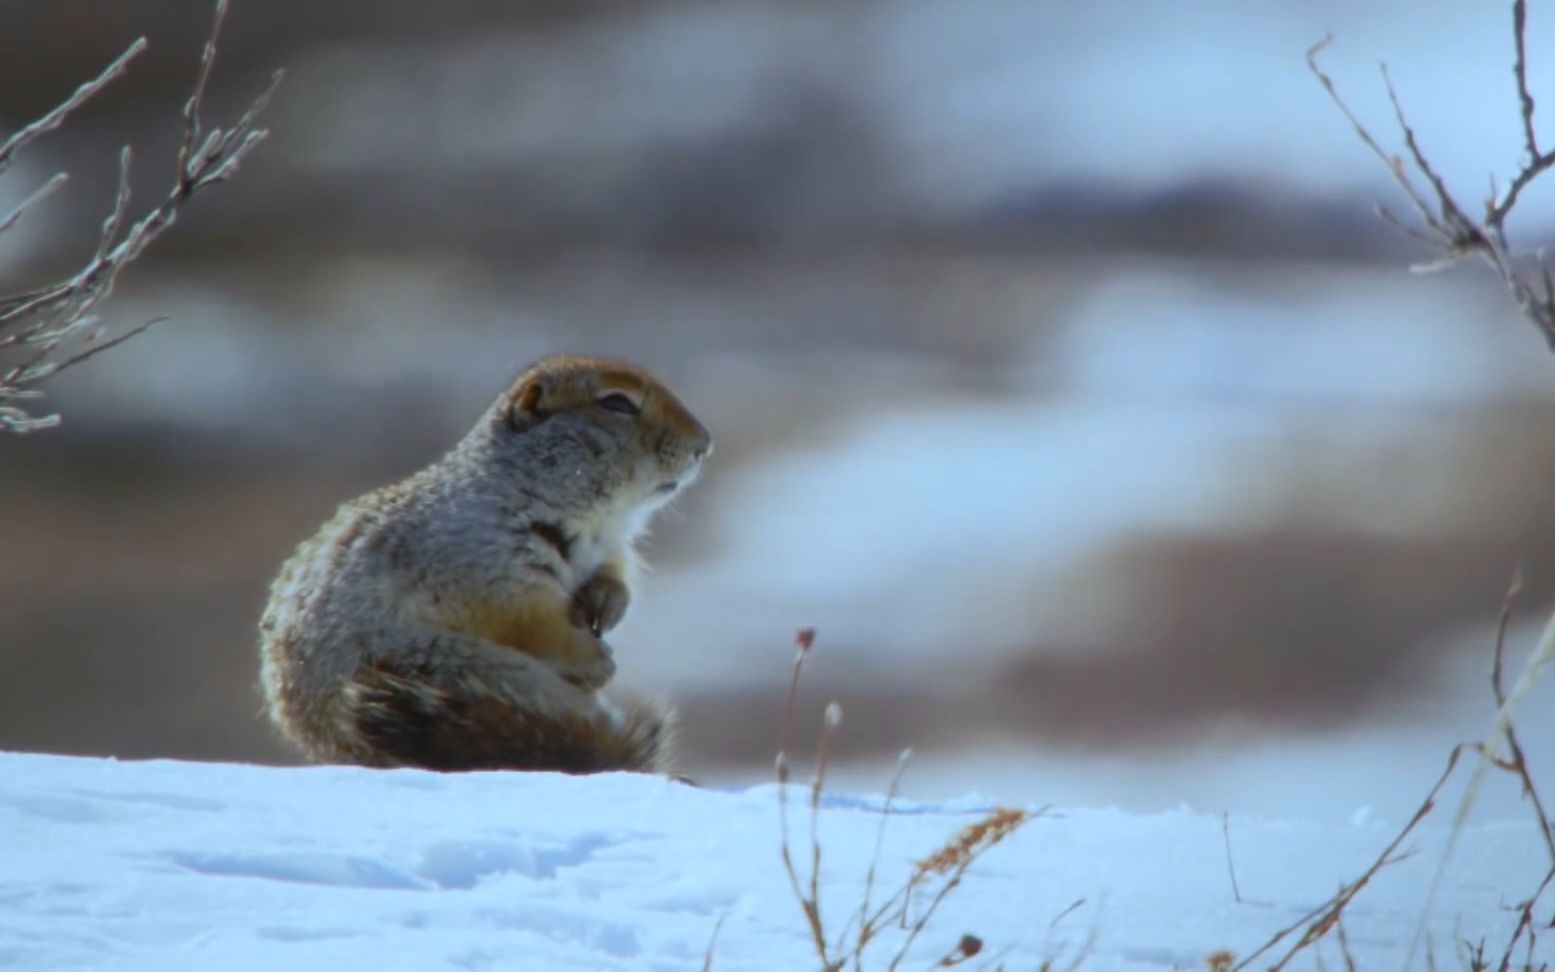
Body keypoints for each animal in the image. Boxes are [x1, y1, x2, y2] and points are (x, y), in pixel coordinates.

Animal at [259, 356, 712, 774]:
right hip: (458, 666)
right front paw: (595, 658)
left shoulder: (610, 547)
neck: (589, 522)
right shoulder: (485, 560)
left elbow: (614, 573)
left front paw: (608, 603)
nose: (704, 444)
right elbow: (527, 619)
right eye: (617, 402)